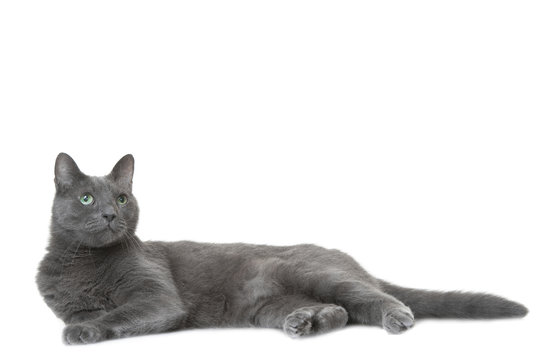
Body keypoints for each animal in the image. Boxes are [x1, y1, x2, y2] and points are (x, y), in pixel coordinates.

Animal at [37, 152, 528, 344]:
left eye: (122, 198)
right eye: (87, 198)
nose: (109, 214)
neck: (84, 263)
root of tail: (351, 259)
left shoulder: (157, 298)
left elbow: (121, 312)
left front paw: (85, 333)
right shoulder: (69, 305)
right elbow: (89, 313)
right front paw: (84, 324)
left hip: (313, 272)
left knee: (373, 297)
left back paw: (396, 318)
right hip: (266, 306)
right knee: (342, 311)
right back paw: (306, 322)